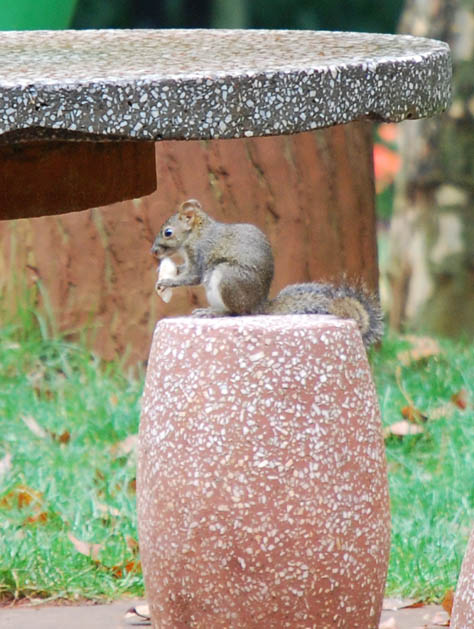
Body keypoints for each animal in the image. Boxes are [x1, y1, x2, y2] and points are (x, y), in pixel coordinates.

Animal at [154, 197, 384, 348]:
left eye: (168, 233)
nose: (153, 251)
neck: (197, 233)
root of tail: (259, 305)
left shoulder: (201, 253)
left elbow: (193, 277)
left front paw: (167, 281)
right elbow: (185, 270)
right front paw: (169, 270)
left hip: (228, 278)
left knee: (239, 312)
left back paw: (215, 312)